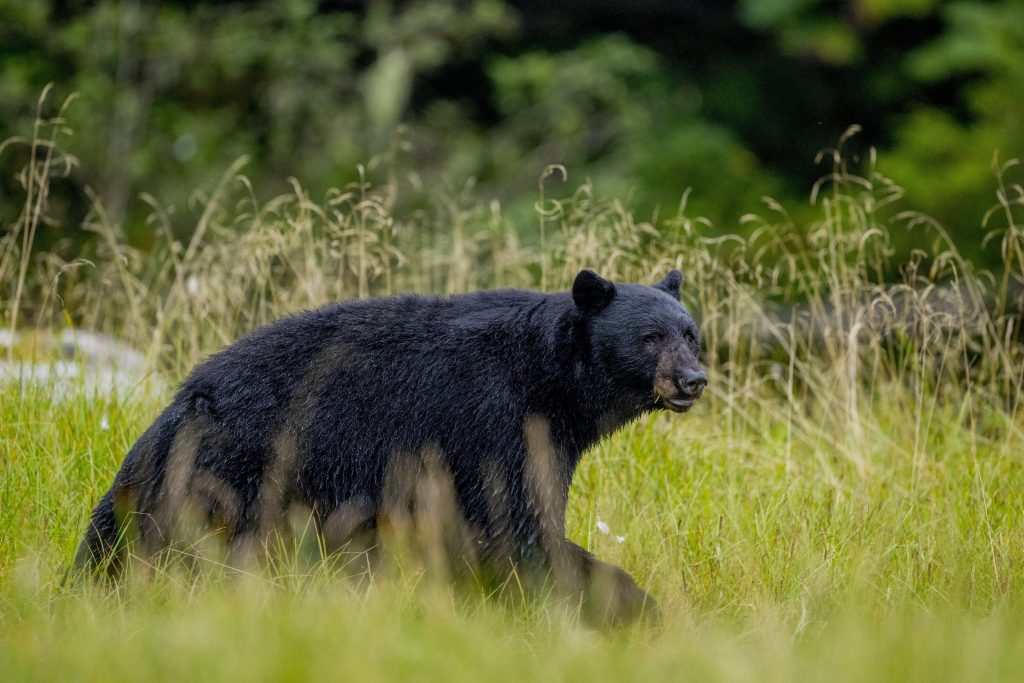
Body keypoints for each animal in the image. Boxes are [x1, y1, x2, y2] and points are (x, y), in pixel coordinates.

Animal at [73, 268, 707, 626]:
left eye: (690, 334)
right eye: (650, 337)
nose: (693, 379)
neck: (553, 381)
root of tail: (179, 404)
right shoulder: (492, 420)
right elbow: (509, 524)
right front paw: (631, 607)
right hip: (238, 470)